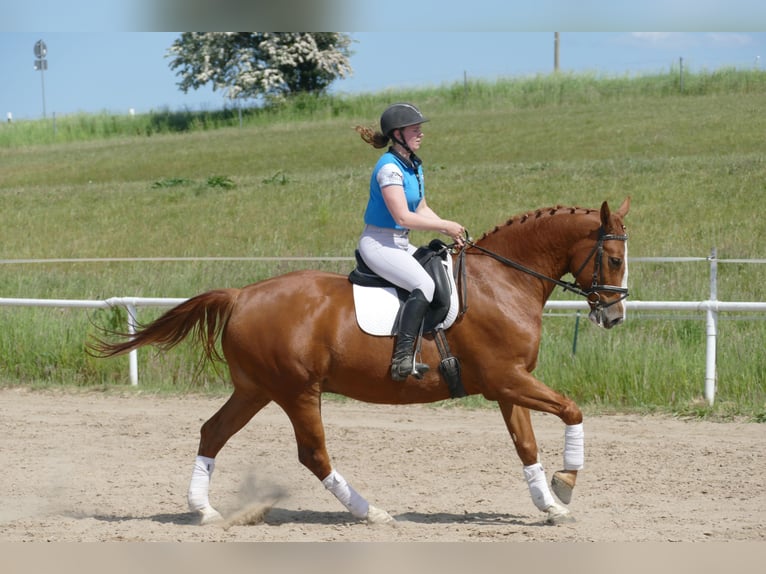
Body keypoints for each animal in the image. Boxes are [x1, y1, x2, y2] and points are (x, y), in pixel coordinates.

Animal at [89, 197, 630, 526]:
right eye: (616, 259)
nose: (614, 315)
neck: (503, 282)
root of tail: (242, 295)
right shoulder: (507, 378)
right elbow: (571, 410)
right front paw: (566, 484)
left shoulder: (508, 384)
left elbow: (526, 444)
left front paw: (550, 504)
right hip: (297, 391)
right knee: (313, 454)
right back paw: (372, 512)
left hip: (256, 389)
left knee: (213, 432)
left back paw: (203, 511)